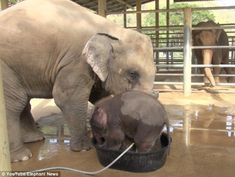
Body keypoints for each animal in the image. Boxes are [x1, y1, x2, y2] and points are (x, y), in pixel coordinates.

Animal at [0, 0, 157, 162]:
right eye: (132, 74)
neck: (112, 30)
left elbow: (99, 96)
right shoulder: (76, 61)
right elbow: (67, 98)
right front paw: (83, 149)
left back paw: (35, 139)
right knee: (15, 102)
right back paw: (22, 157)